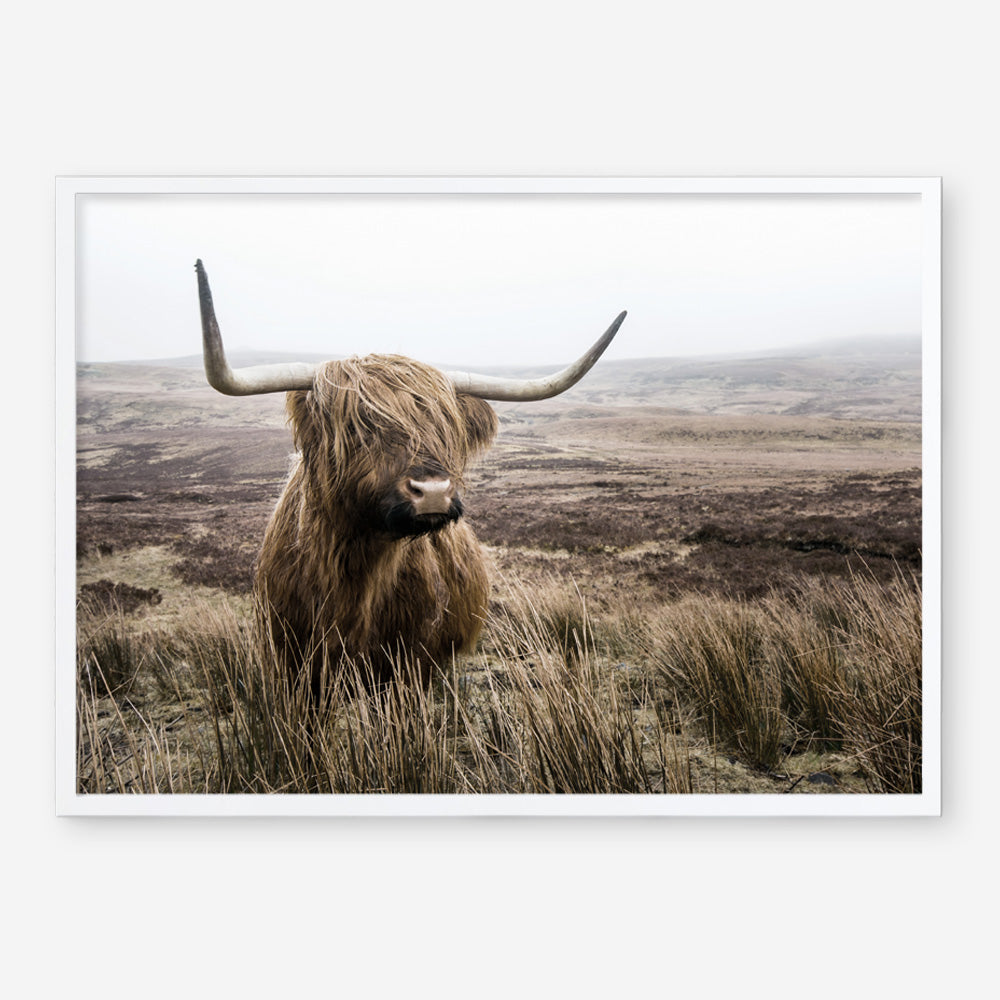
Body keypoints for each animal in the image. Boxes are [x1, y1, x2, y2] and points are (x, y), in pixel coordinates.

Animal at [195, 260, 626, 690]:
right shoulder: (291, 663)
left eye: (446, 428)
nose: (433, 491)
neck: (357, 574)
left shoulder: (412, 664)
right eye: (357, 427)